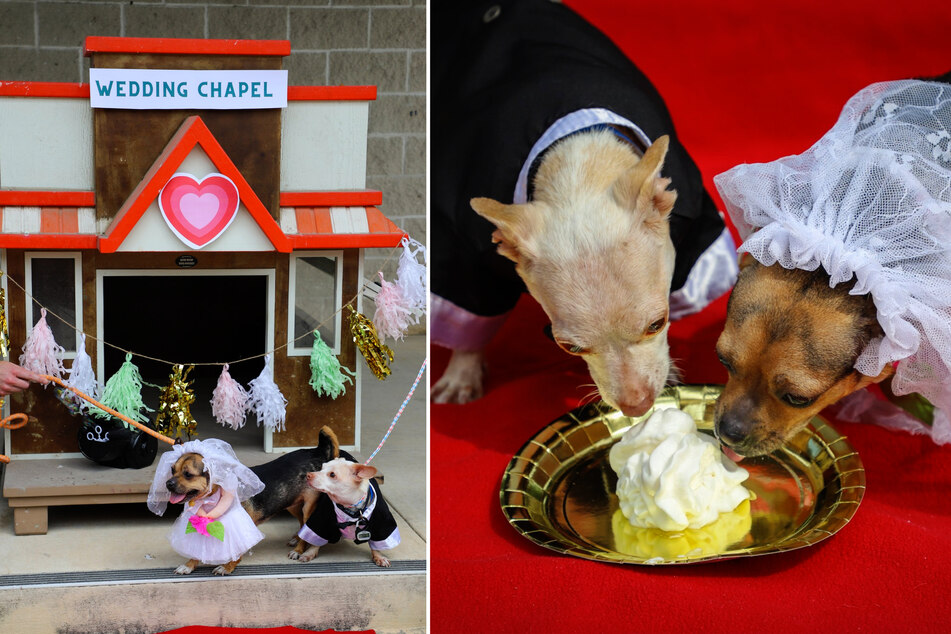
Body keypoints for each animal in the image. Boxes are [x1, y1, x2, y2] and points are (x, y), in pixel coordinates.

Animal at [436, 132, 680, 414]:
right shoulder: (469, 256)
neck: (582, 168)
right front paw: (460, 375)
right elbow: (470, 307)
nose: (637, 406)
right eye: (570, 348)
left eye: (657, 324)